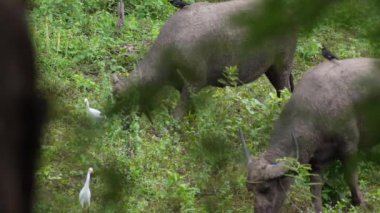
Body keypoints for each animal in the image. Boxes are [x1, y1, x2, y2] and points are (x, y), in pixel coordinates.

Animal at [112, 0, 296, 118]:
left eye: (123, 98)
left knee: (285, 90)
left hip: (282, 64)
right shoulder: (182, 84)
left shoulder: (195, 82)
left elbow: (179, 112)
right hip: (270, 68)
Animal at [242, 57, 380, 212]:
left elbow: (351, 177)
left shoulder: (349, 147)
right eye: (250, 189)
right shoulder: (317, 163)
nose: (259, 210)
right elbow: (315, 191)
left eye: (266, 188)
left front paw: (360, 203)